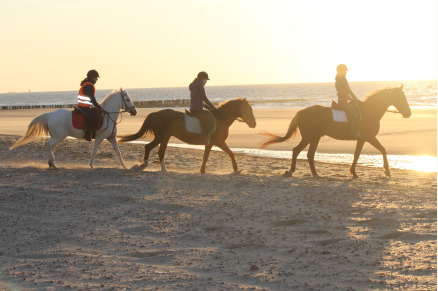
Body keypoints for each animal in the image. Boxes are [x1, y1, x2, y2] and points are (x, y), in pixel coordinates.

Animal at [120, 99, 256, 175]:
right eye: (248, 110)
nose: (254, 124)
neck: (220, 119)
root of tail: (155, 114)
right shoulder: (218, 142)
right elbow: (230, 153)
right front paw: (236, 170)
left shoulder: (211, 143)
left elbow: (206, 157)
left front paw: (202, 171)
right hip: (163, 137)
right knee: (159, 151)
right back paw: (163, 169)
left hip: (161, 137)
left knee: (148, 147)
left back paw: (144, 165)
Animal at [260, 85, 410, 179]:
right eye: (402, 98)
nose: (408, 113)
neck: (369, 111)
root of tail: (302, 112)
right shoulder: (368, 137)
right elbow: (382, 150)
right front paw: (387, 171)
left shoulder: (362, 139)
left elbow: (357, 155)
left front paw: (353, 173)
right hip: (311, 137)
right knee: (301, 152)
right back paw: (300, 172)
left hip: (313, 137)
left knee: (305, 153)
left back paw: (308, 173)